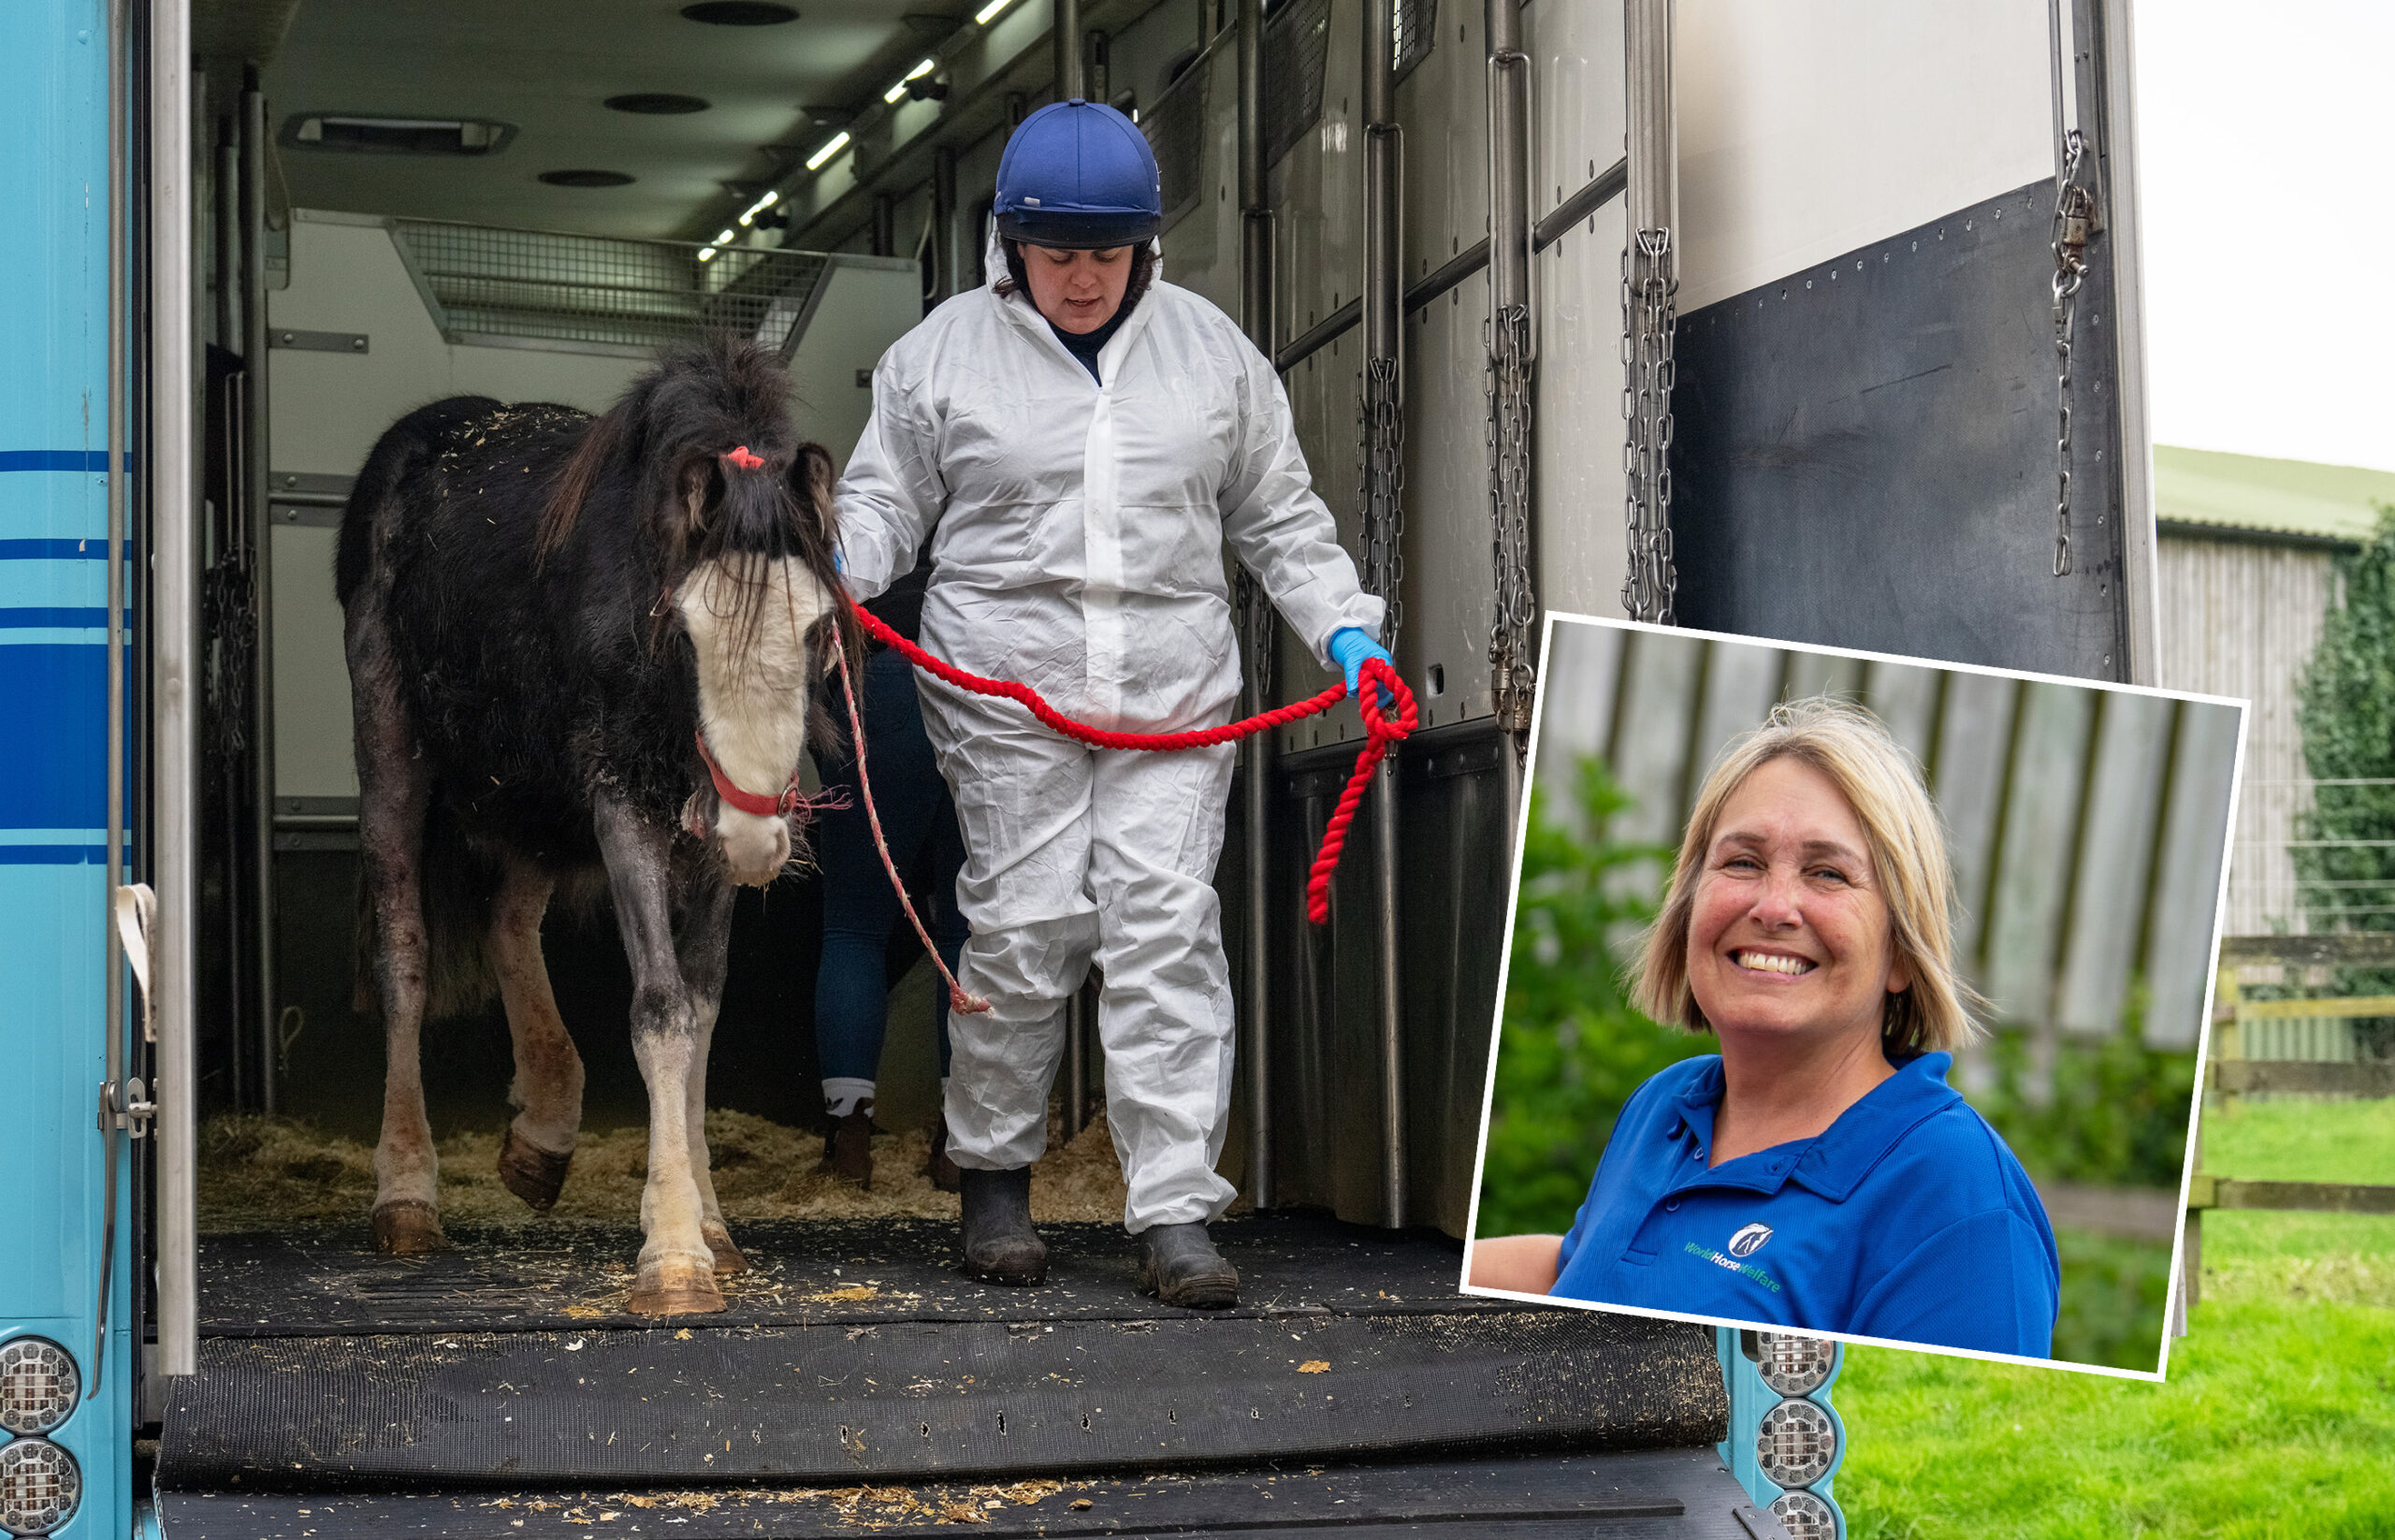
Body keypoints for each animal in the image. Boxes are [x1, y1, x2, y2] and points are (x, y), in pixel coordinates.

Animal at [337, 335, 852, 1312]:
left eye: (817, 630)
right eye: (685, 632)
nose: (758, 839)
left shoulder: (704, 845)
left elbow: (703, 1009)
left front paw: (711, 1225)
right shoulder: (622, 805)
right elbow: (660, 1010)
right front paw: (674, 1255)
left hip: (537, 797)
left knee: (509, 925)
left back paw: (542, 1134)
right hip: (393, 752)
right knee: (404, 959)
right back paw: (407, 1196)